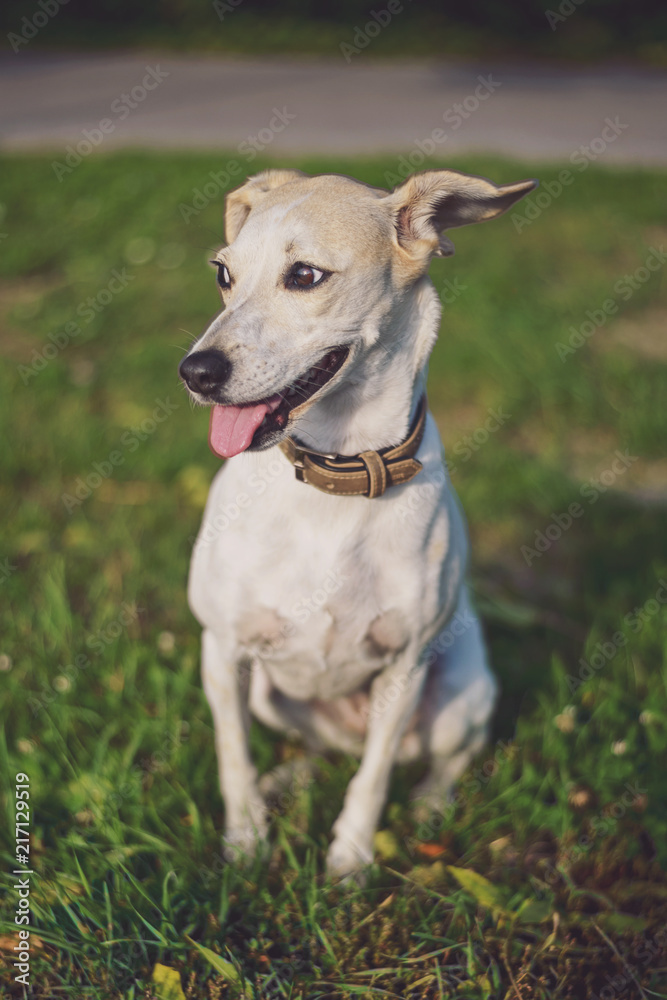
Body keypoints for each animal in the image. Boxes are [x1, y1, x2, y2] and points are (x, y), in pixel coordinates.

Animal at [181, 166, 536, 876]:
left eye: (305, 275)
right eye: (223, 273)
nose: (195, 372)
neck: (334, 476)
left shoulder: (403, 665)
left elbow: (373, 778)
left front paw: (350, 858)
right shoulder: (222, 651)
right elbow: (233, 759)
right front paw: (246, 843)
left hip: (461, 693)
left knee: (434, 761)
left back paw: (428, 807)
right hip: (268, 694)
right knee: (318, 751)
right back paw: (287, 781)